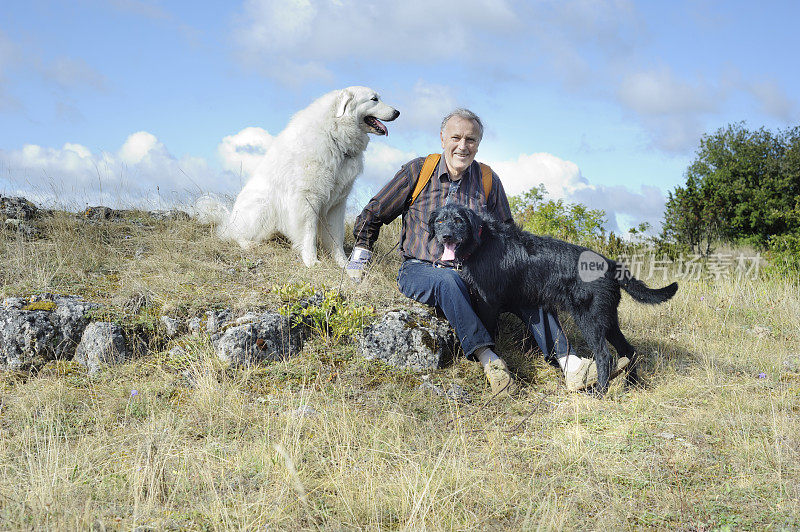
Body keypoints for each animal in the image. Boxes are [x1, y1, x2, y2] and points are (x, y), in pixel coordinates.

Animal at [198, 88, 398, 268]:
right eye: (374, 99)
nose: (397, 112)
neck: (334, 136)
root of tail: (229, 221)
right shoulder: (307, 199)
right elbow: (308, 232)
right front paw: (311, 261)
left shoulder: (337, 205)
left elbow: (336, 237)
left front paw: (342, 263)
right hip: (262, 208)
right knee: (236, 235)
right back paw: (249, 244)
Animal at [428, 204, 680, 394]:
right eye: (439, 222)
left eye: (459, 220)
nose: (446, 236)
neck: (482, 242)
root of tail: (610, 264)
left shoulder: (488, 301)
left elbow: (487, 331)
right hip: (608, 320)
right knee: (629, 350)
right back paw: (632, 385)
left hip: (590, 321)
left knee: (604, 355)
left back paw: (600, 392)